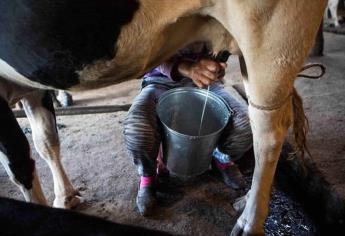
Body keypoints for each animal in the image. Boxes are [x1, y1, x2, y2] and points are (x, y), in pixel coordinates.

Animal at [0, 0, 326, 236]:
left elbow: (20, 163)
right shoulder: (33, 85)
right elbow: (46, 142)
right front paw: (65, 198)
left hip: (273, 35)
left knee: (268, 134)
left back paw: (250, 222)